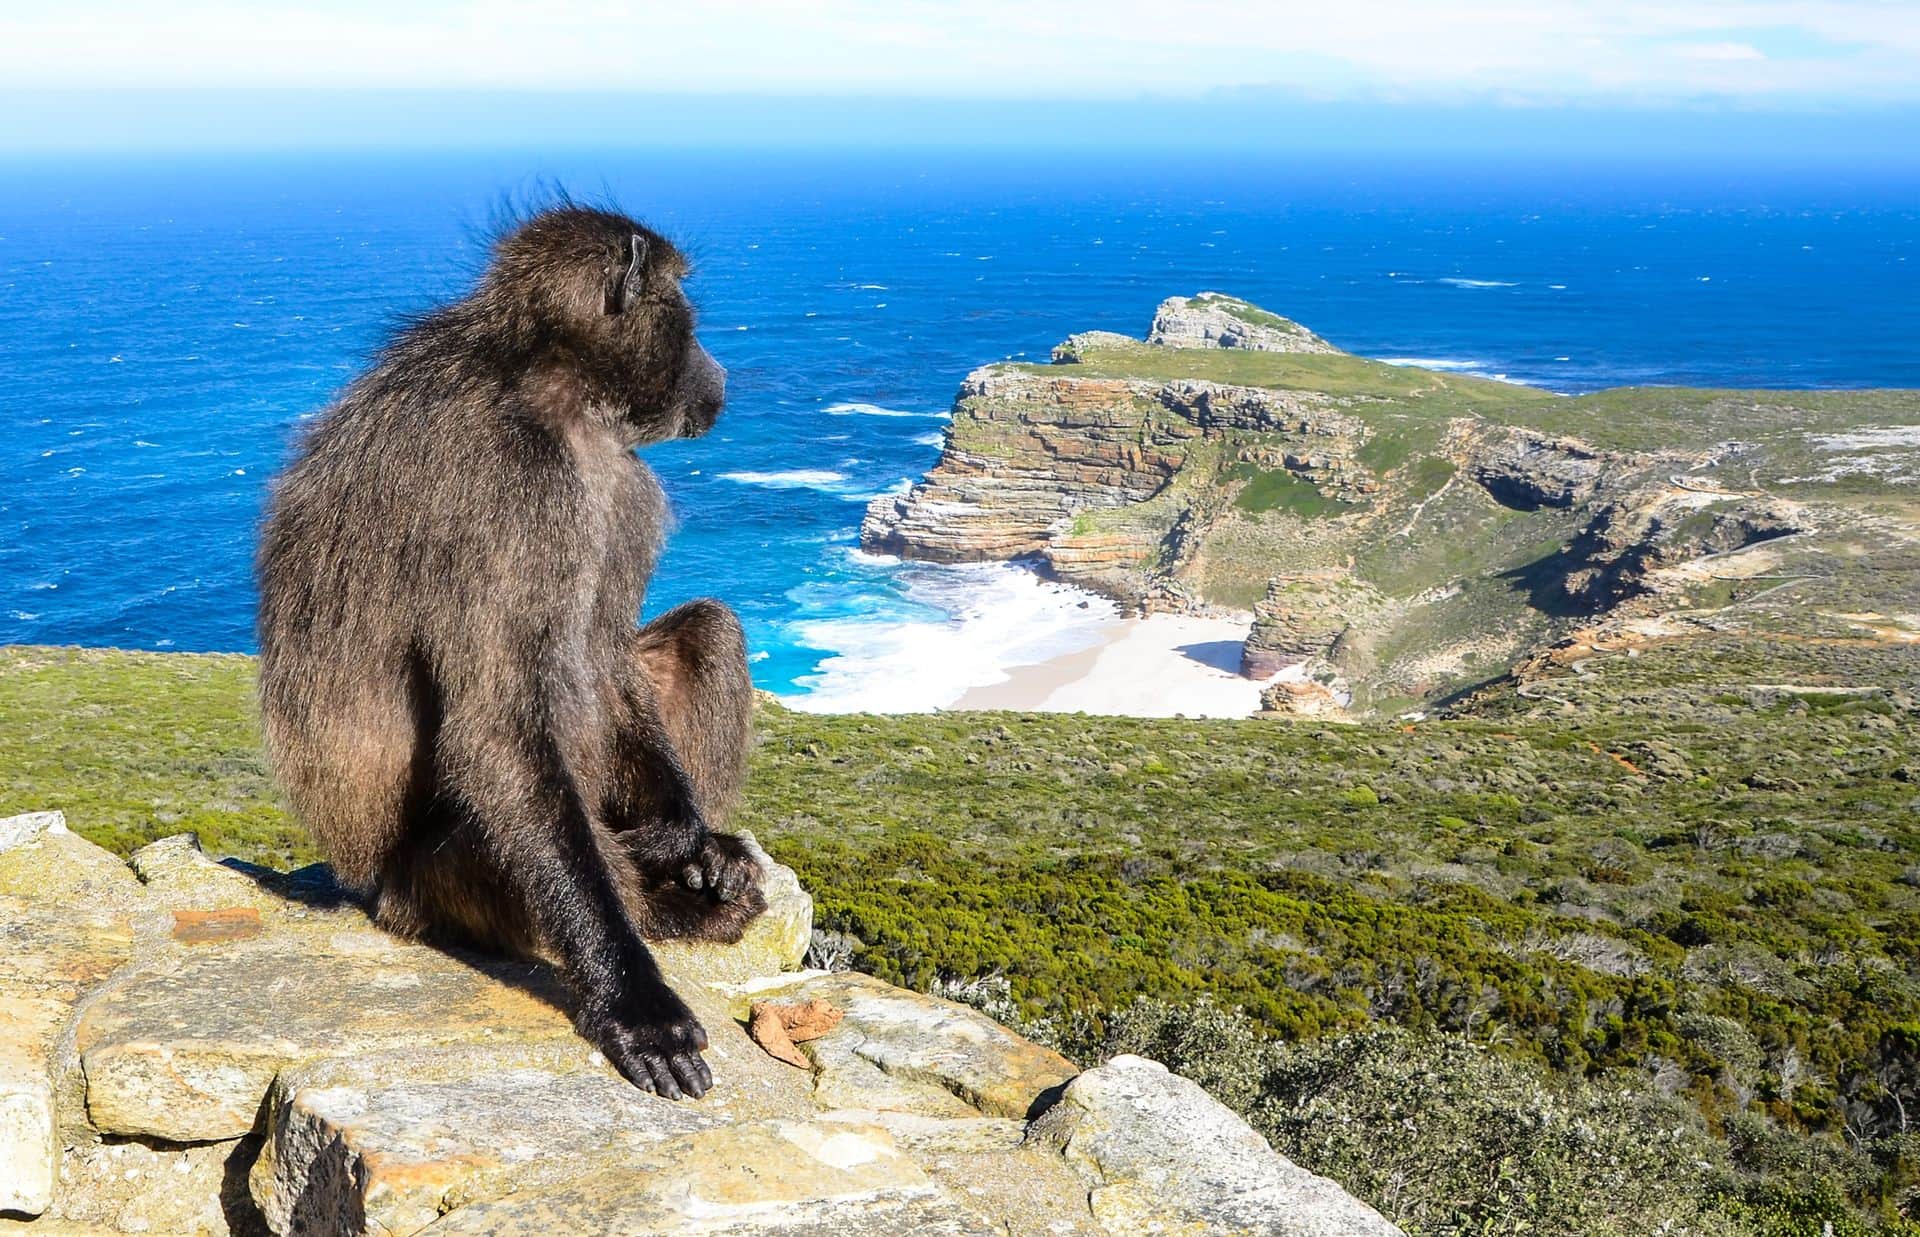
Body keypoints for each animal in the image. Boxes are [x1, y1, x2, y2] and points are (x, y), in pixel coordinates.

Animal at [255, 203, 764, 1101]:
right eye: (687, 311)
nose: (718, 371)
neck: (549, 386)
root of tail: (372, 887)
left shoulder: (620, 482)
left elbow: (607, 654)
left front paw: (691, 837)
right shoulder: (515, 494)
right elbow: (496, 729)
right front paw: (637, 1004)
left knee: (709, 629)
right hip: (432, 890)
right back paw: (671, 911)